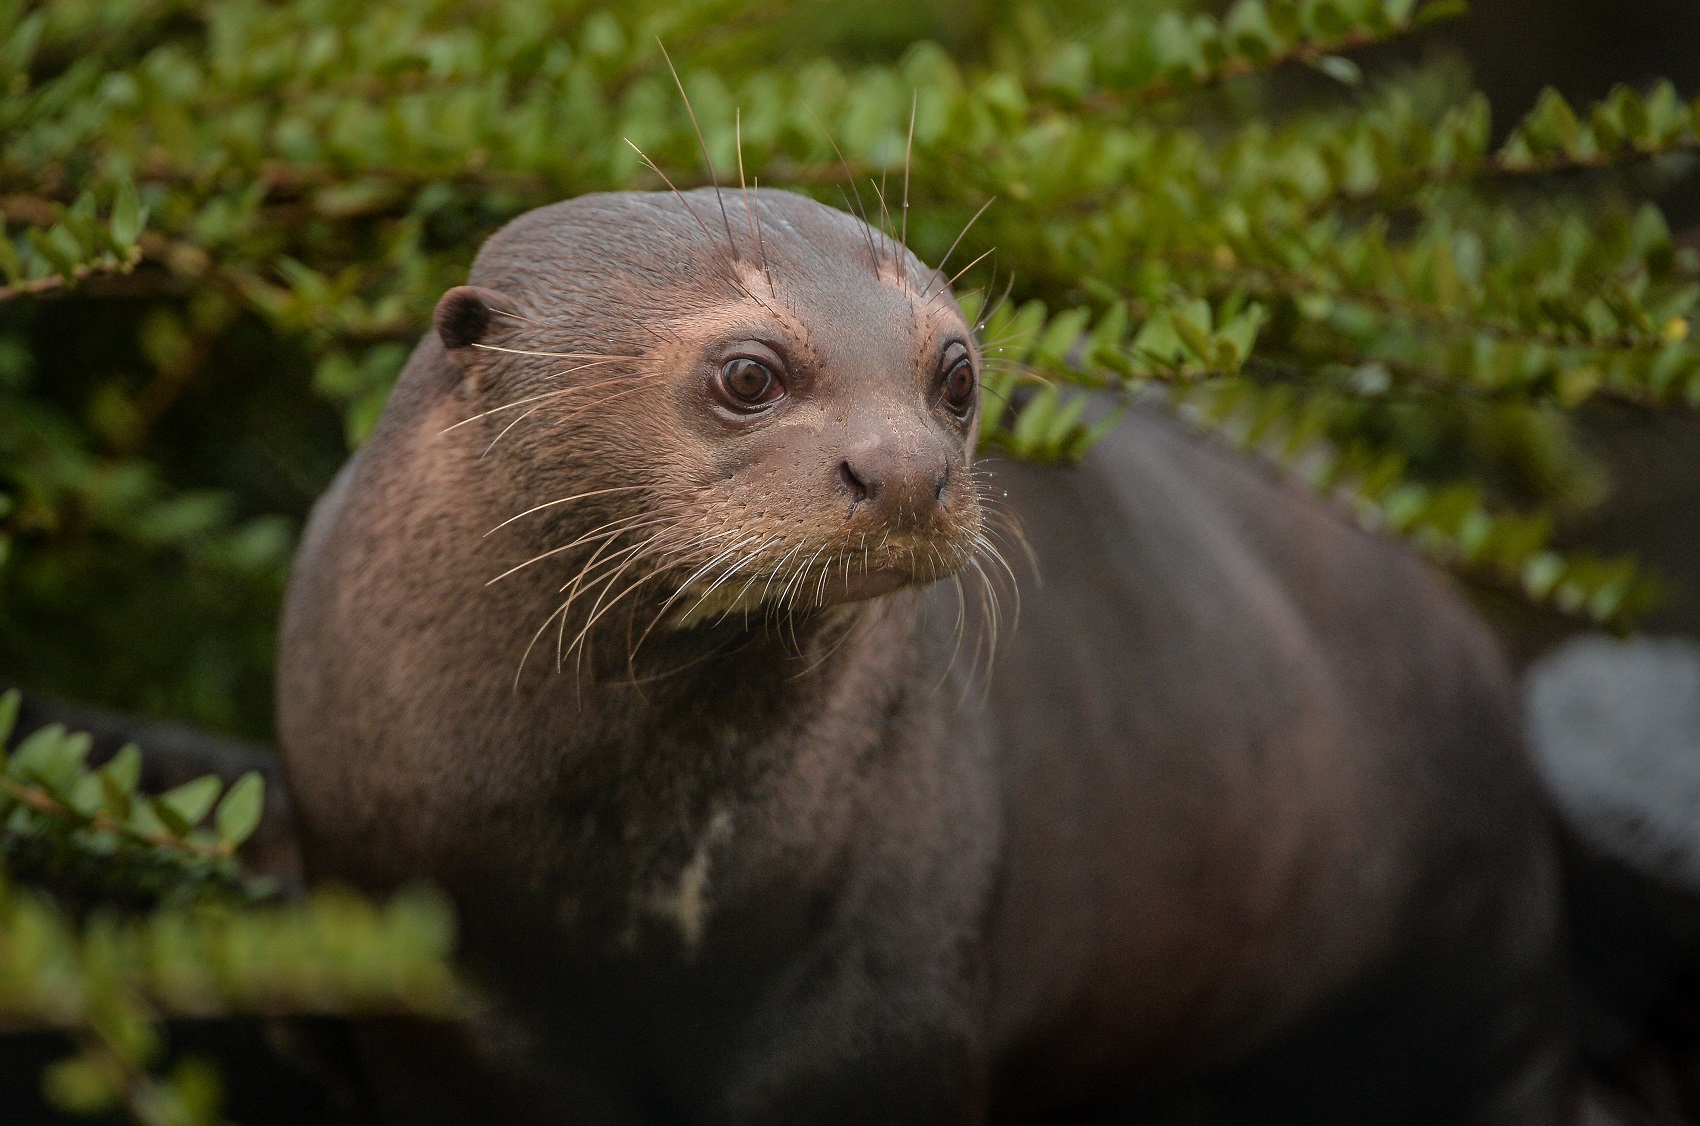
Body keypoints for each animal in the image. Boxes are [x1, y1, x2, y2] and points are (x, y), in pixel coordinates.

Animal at [276, 187, 1573, 1124]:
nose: (905, 467)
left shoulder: (890, 973)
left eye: (953, 372)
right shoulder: (432, 976)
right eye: (747, 373)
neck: (650, 889)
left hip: (1460, 920)